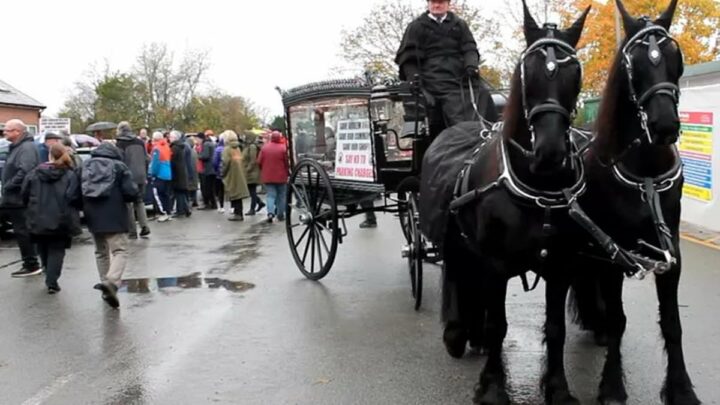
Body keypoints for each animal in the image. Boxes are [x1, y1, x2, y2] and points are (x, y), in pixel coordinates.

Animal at [416, 1, 592, 402]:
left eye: (575, 71)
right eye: (527, 70)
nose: (549, 152)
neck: (538, 187)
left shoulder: (562, 264)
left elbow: (555, 328)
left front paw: (557, 388)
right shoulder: (495, 264)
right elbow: (499, 324)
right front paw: (494, 386)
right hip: (457, 242)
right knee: (457, 277)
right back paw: (457, 333)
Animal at [564, 0, 700, 404]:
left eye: (674, 56)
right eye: (634, 62)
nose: (664, 125)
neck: (647, 177)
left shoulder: (671, 256)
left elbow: (672, 323)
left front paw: (681, 387)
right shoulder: (614, 252)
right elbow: (619, 319)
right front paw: (611, 384)